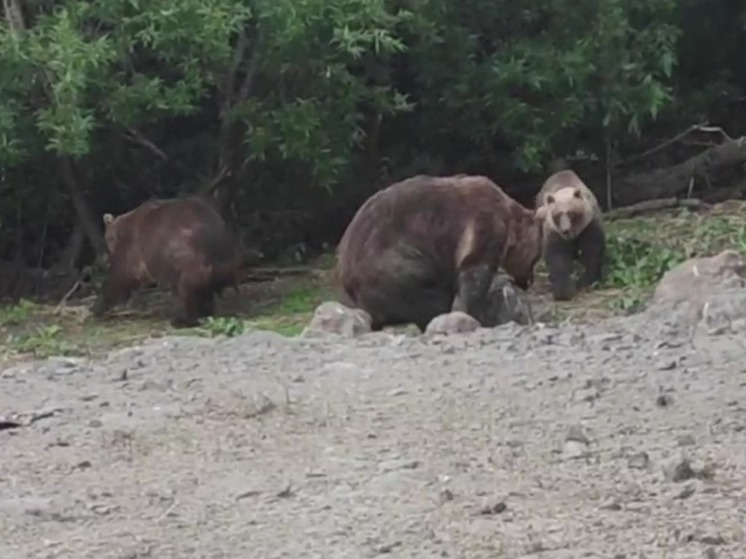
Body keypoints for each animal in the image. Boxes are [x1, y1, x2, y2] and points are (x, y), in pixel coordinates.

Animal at [89, 197, 241, 328]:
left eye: (107, 237)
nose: (106, 253)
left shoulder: (135, 247)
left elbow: (123, 274)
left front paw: (97, 306)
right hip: (226, 256)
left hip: (186, 252)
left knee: (186, 286)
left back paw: (182, 319)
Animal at [332, 175, 540, 332]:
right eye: (535, 258)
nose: (528, 282)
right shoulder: (484, 223)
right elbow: (475, 272)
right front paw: (476, 315)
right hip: (396, 263)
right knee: (428, 297)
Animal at [532, 170, 600, 302]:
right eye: (558, 215)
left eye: (571, 213)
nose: (566, 230)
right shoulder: (554, 230)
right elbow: (558, 256)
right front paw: (563, 291)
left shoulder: (589, 224)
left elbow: (592, 250)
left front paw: (586, 281)